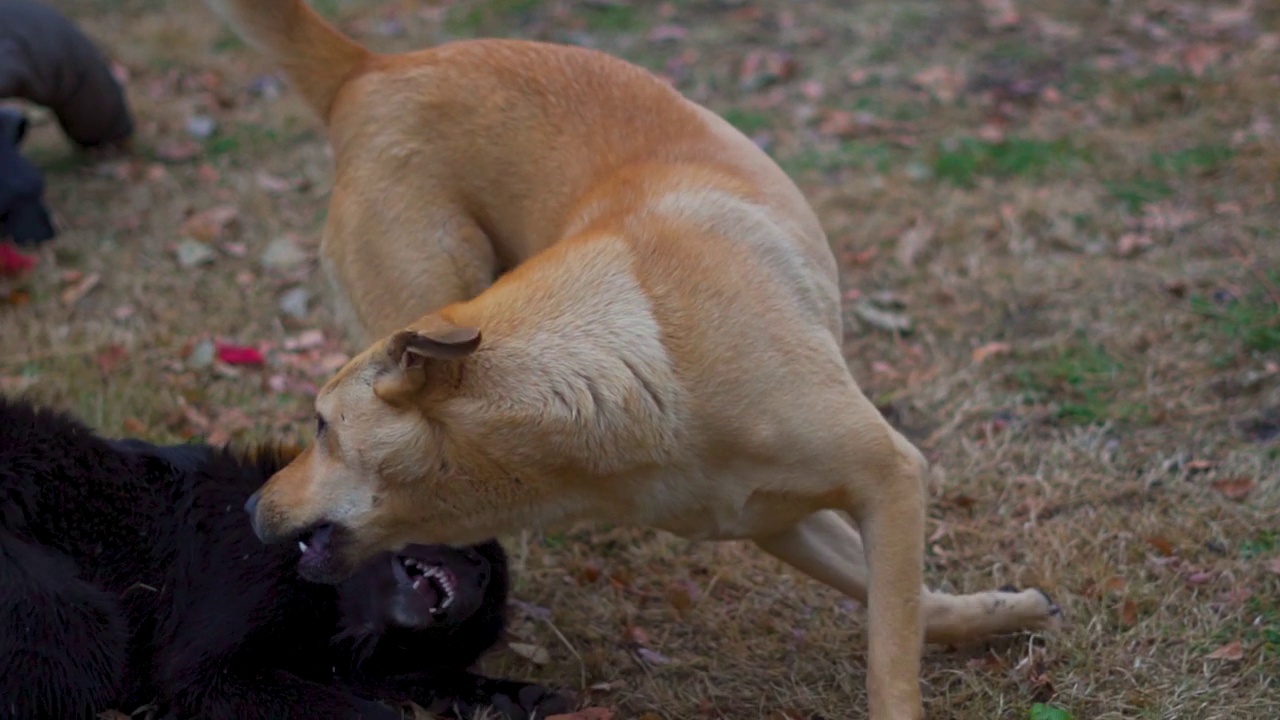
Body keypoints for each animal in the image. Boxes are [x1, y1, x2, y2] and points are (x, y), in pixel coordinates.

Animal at [0, 394, 570, 712]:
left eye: (488, 584)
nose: (476, 569)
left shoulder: (343, 664)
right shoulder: (210, 669)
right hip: (77, 620)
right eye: (464, 540)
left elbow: (429, 679)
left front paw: (515, 696)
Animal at [212, 2, 1059, 712]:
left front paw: (998, 613)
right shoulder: (782, 519)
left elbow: (896, 636)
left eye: (321, 426)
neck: (639, 378)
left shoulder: (880, 479)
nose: (250, 509)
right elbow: (896, 610)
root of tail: (369, 72)